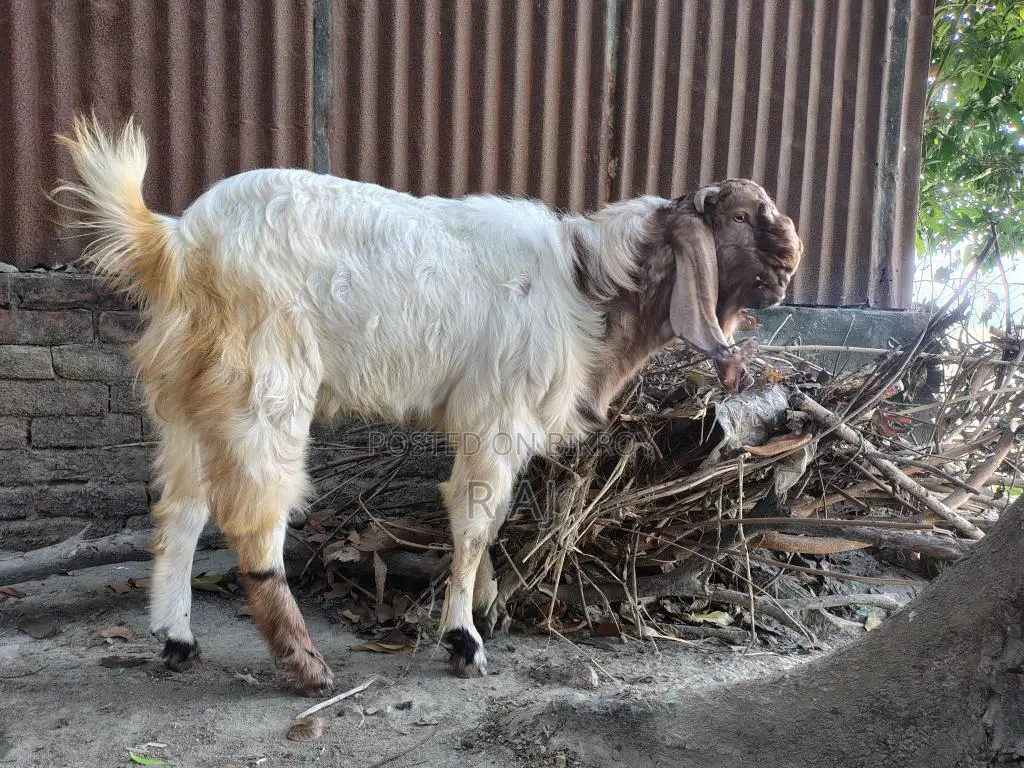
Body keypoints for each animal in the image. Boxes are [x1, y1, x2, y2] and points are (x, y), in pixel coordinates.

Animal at [56, 116, 802, 695]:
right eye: (741, 217)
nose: (792, 261)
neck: (586, 284)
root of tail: (179, 244)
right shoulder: (494, 414)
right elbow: (472, 519)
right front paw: (463, 639)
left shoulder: (496, 426)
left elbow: (493, 516)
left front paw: (489, 606)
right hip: (262, 388)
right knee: (251, 518)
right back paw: (304, 665)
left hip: (184, 398)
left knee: (179, 511)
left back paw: (176, 640)